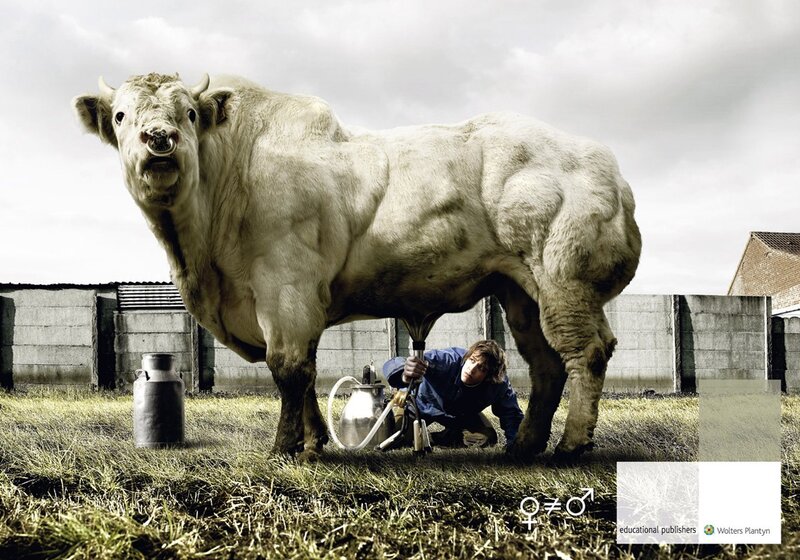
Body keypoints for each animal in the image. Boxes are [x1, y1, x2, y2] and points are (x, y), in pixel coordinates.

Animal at [73, 73, 641, 462]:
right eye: (121, 116)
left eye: (189, 112)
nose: (159, 138)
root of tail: (604, 164)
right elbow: (303, 374)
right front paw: (314, 442)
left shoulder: (286, 287)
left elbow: (289, 368)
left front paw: (285, 448)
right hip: (518, 290)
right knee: (545, 363)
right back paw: (524, 445)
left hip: (563, 280)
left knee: (585, 352)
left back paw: (571, 444)